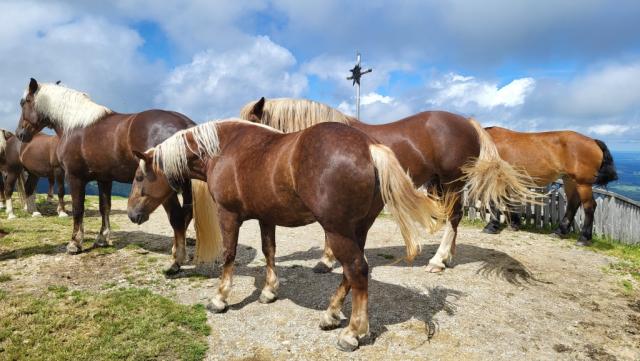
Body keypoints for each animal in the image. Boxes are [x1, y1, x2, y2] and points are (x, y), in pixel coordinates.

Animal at [15, 77, 219, 272]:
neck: (75, 125)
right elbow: (104, 207)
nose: (20, 134)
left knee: (177, 217)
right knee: (186, 214)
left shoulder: (75, 178)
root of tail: (186, 126)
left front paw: (75, 243)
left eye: (24, 102)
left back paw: (176, 261)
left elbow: (78, 209)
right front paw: (102, 238)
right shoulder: (104, 179)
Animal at [127, 119, 450, 350]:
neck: (225, 149)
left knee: (357, 270)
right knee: (352, 272)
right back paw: (331, 315)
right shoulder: (266, 218)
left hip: (337, 230)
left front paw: (220, 298)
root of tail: (370, 147)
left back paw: (352, 333)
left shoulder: (228, 216)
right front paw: (269, 291)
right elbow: (269, 250)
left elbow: (229, 255)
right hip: (356, 230)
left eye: (140, 176)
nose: (132, 214)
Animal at [240, 97, 540, 272]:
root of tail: (467, 122)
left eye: (250, 124)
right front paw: (327, 259)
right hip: (439, 185)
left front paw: (326, 260)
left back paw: (437, 260)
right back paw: (448, 258)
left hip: (452, 182)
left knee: (454, 218)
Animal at [480, 126, 616, 245]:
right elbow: (507, 200)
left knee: (589, 206)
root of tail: (593, 141)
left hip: (583, 183)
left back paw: (584, 238)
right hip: (569, 180)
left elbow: (495, 200)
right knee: (573, 203)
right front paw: (514, 224)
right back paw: (560, 231)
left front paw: (492, 226)